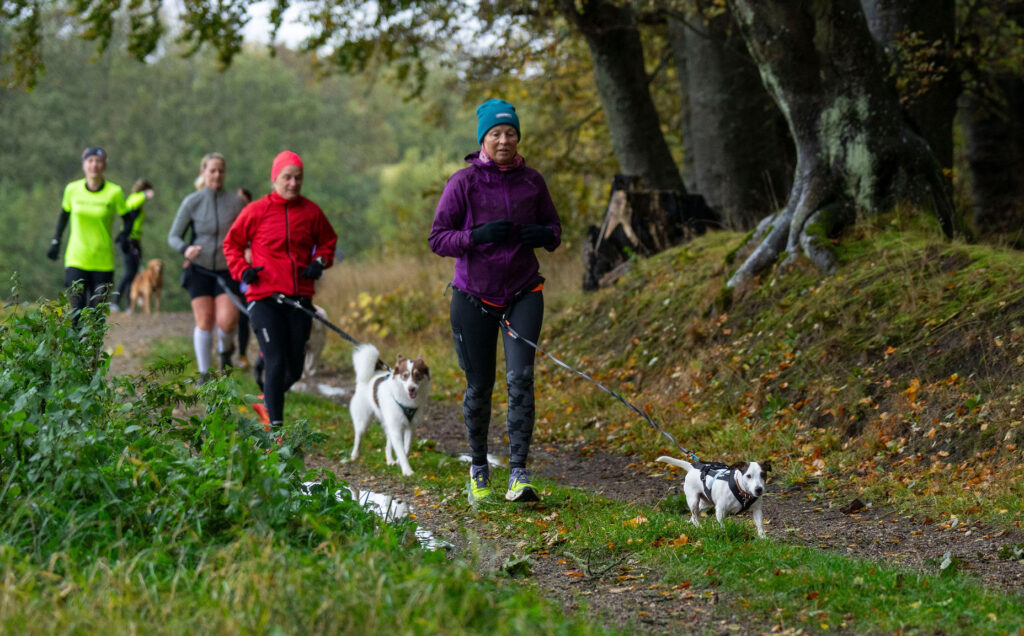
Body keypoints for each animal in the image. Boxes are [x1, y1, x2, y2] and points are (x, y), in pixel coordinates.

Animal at [350, 344, 430, 473]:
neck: (406, 401)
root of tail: (374, 373)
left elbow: (406, 448)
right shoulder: (396, 428)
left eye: (417, 375)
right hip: (364, 419)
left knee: (388, 444)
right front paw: (407, 471)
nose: (411, 389)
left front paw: (398, 462)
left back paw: (390, 460)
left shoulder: (410, 426)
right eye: (404, 376)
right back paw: (355, 454)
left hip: (388, 423)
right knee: (358, 435)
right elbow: (401, 451)